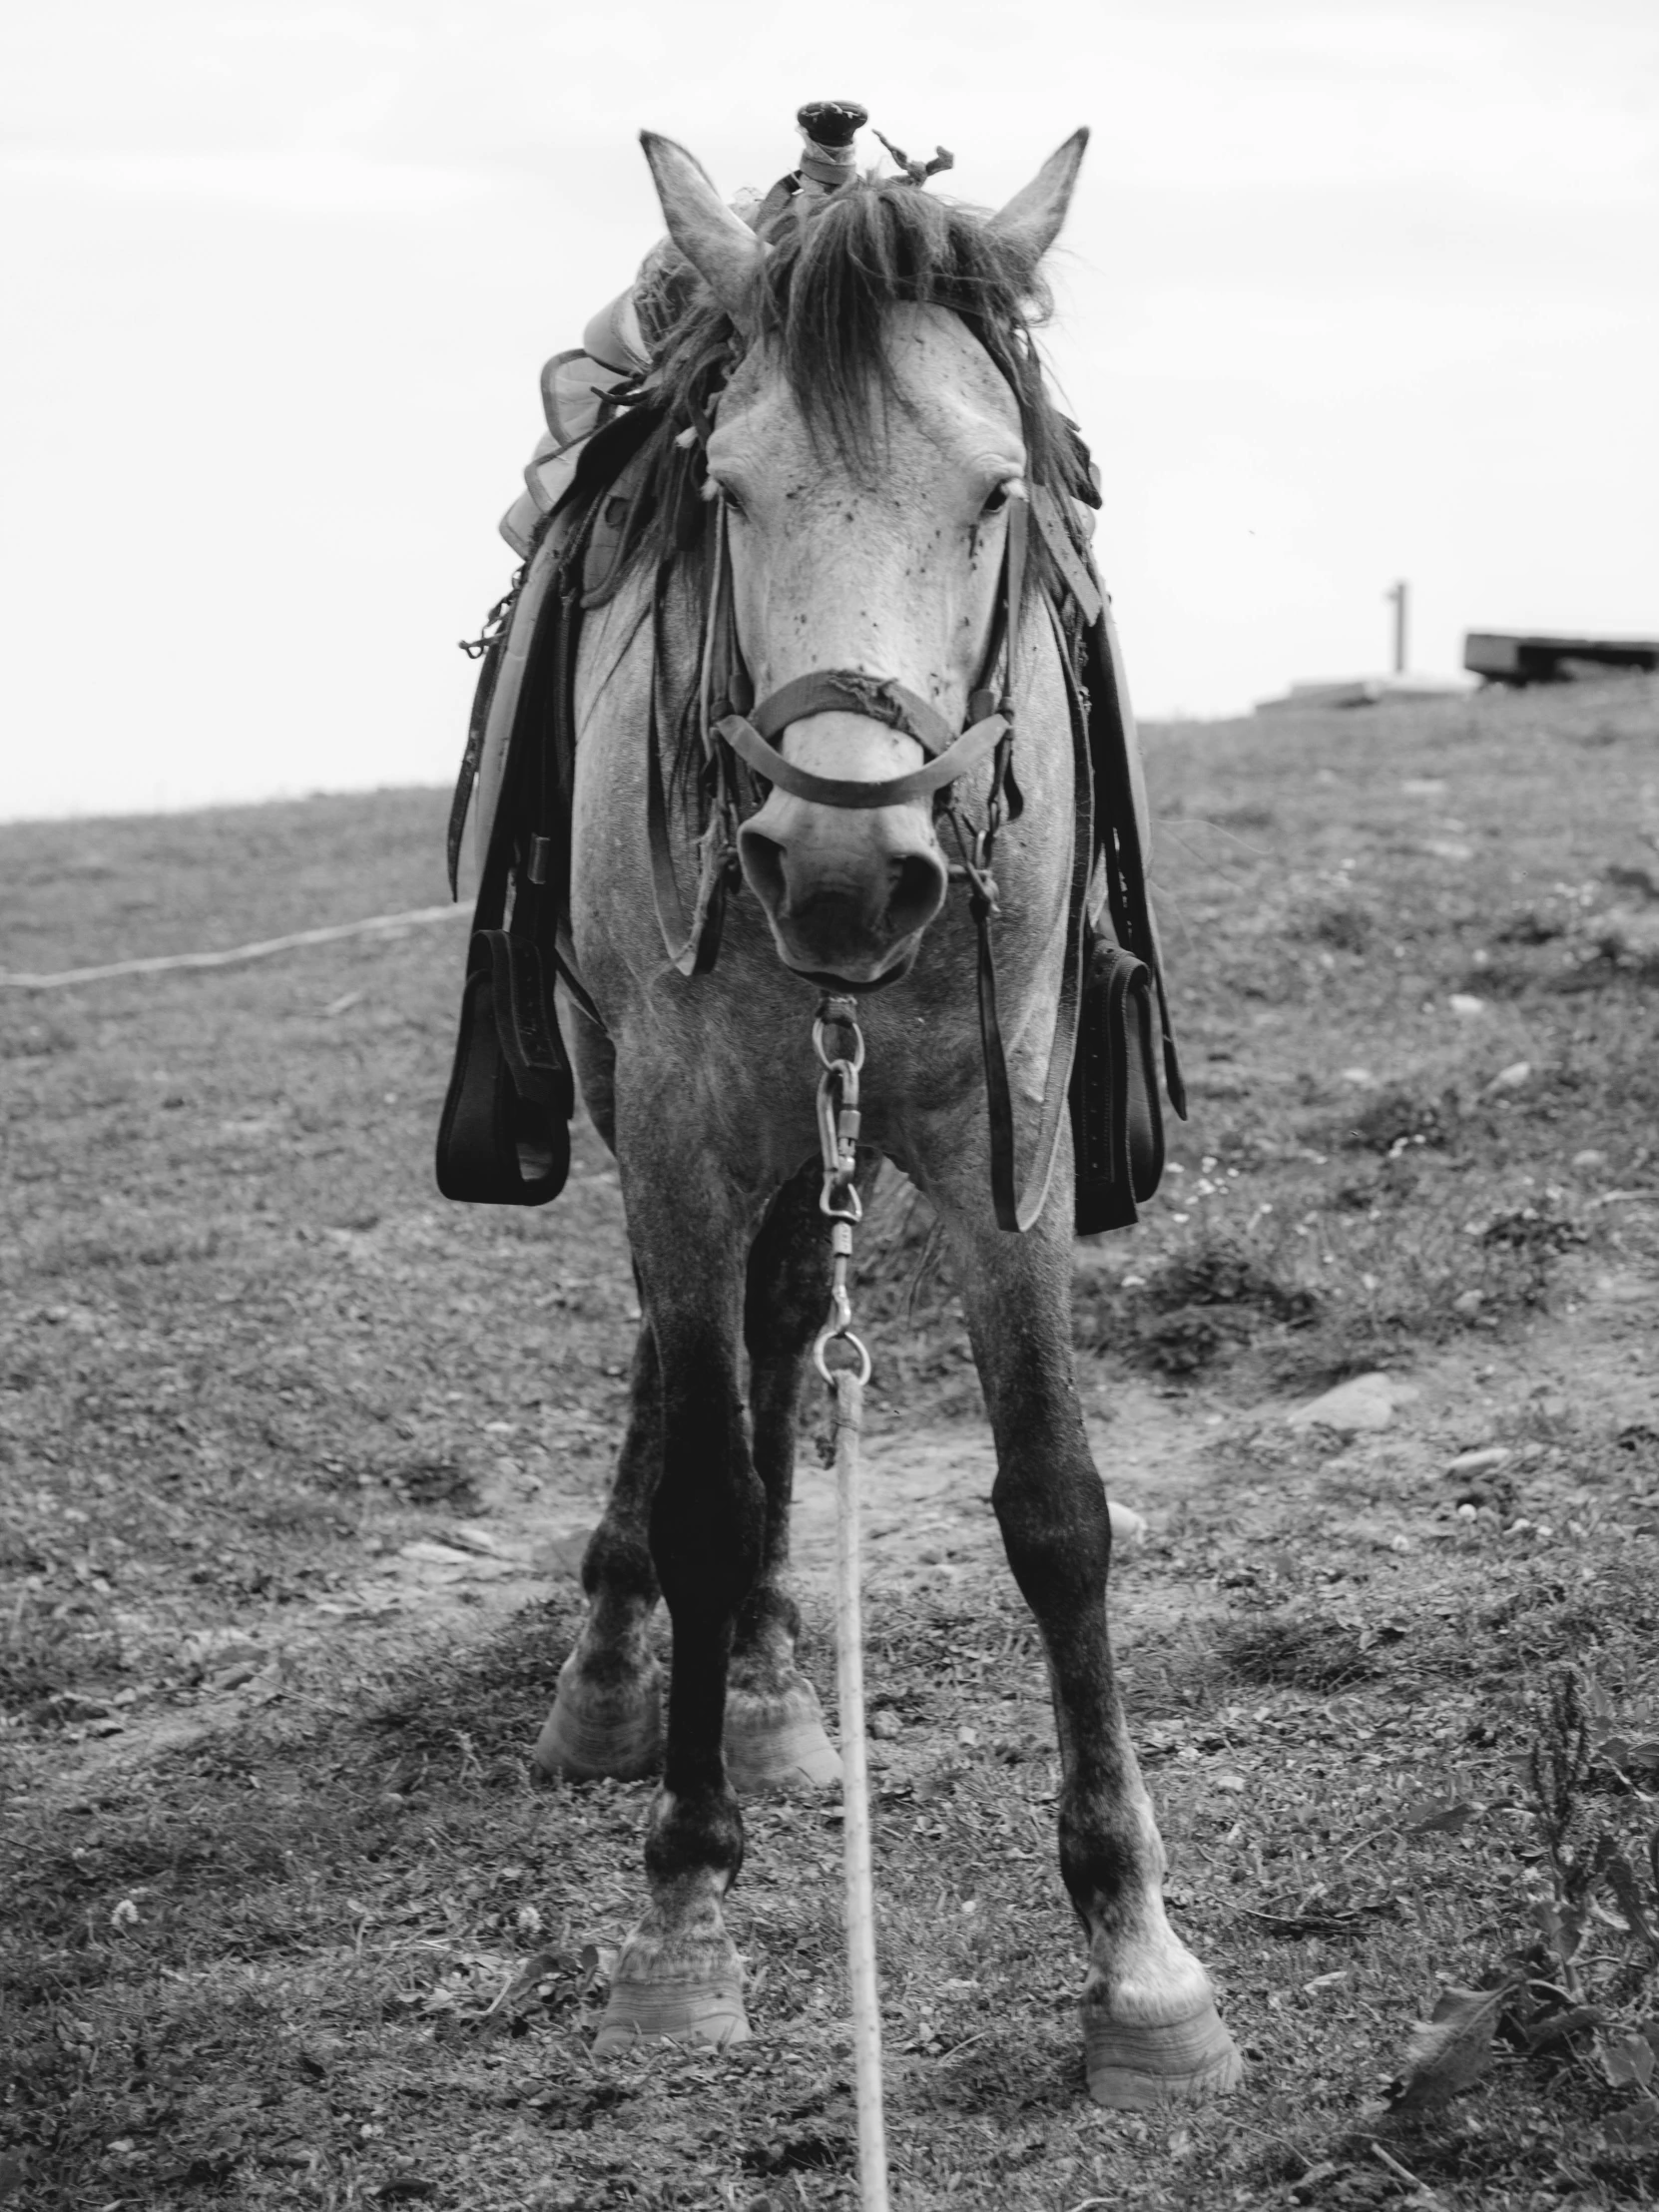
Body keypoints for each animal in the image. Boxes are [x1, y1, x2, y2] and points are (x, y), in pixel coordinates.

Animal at [526, 121, 1238, 2105]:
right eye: (730, 489)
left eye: (994, 494)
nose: (844, 866)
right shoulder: (680, 1139)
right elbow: (701, 1486)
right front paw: (682, 1906)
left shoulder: (1008, 1141)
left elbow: (1056, 1506)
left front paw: (1137, 1953)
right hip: (644, 1108)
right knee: (679, 1371)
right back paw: (625, 1668)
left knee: (777, 1337)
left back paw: (774, 1684)